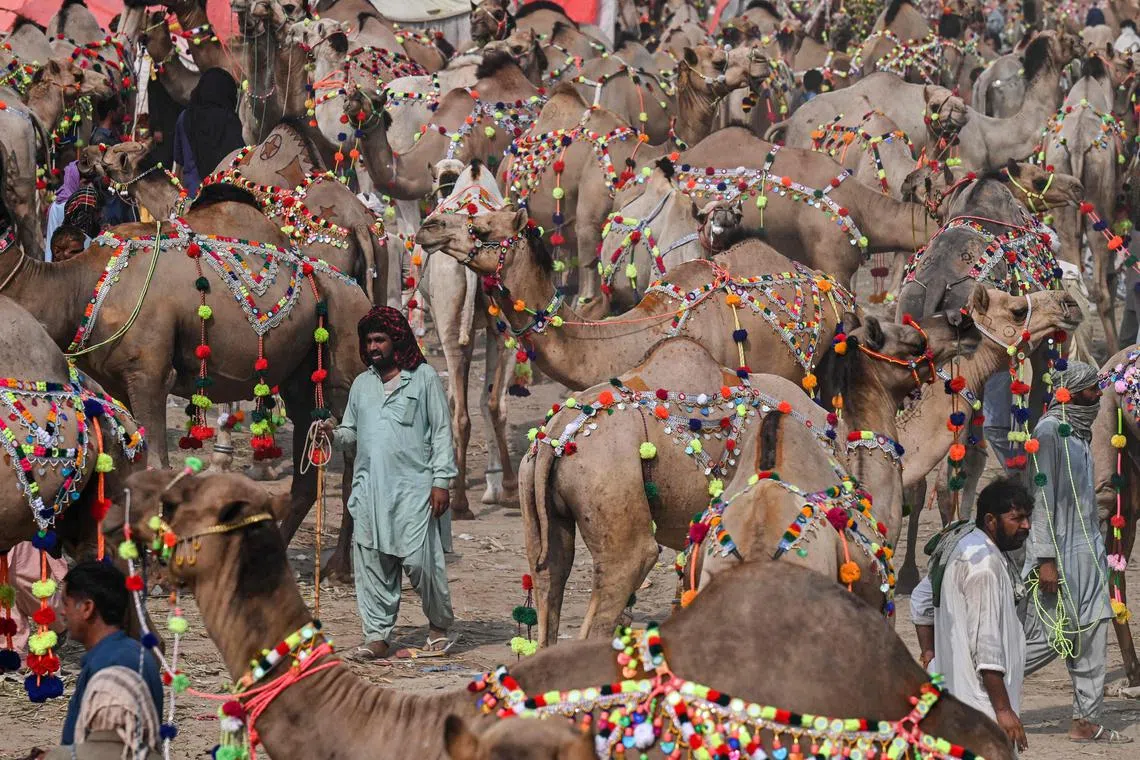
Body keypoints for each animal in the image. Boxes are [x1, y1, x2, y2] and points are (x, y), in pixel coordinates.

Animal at [518, 304, 978, 645]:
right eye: (912, 343)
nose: (962, 322)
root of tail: (555, 439)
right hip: (616, 502)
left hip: (541, 513)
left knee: (548, 593)